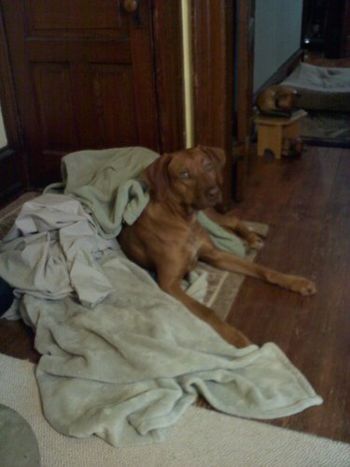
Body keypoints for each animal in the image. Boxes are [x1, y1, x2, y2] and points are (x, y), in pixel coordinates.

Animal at [118, 146, 318, 348]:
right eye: (184, 174)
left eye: (207, 165)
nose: (214, 192)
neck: (183, 221)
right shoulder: (169, 283)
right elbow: (207, 311)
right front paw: (237, 338)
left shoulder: (216, 254)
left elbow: (261, 269)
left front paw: (296, 282)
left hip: (209, 214)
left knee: (232, 220)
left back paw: (252, 237)